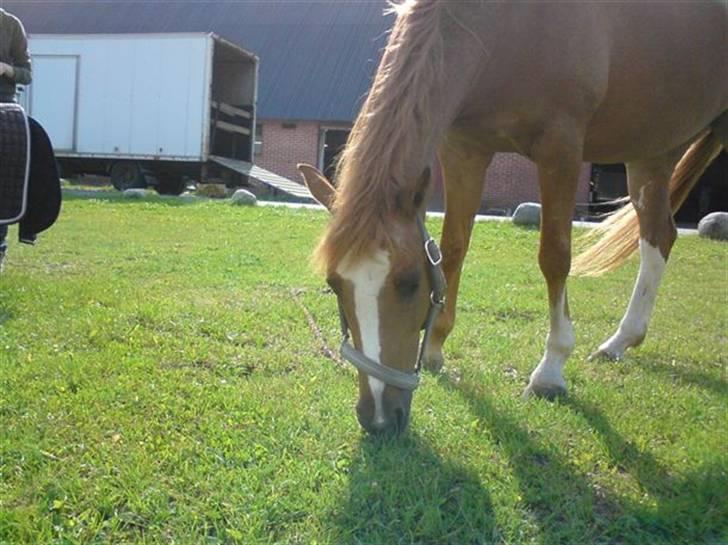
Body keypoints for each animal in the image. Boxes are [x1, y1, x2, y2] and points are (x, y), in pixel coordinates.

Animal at [298, 0, 728, 434]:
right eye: (334, 284)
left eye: (409, 282)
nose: (380, 419)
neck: (507, 28)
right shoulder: (464, 149)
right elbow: (454, 247)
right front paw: (435, 348)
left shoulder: (561, 148)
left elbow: (554, 256)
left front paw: (551, 370)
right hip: (653, 148)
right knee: (658, 235)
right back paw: (619, 342)